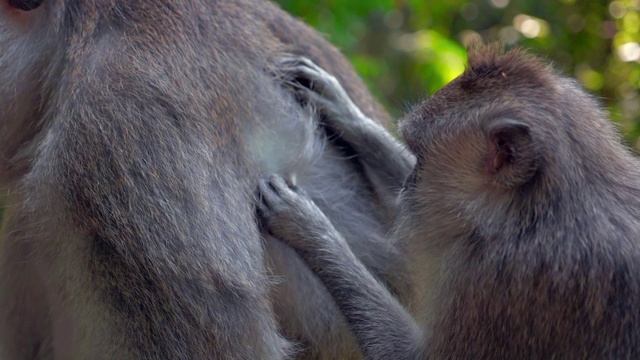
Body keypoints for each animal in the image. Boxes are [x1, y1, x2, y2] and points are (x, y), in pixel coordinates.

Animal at [258, 47, 640, 360]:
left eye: (422, 156)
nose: (411, 183)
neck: (537, 206)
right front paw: (346, 112)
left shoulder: (496, 280)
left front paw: (309, 227)